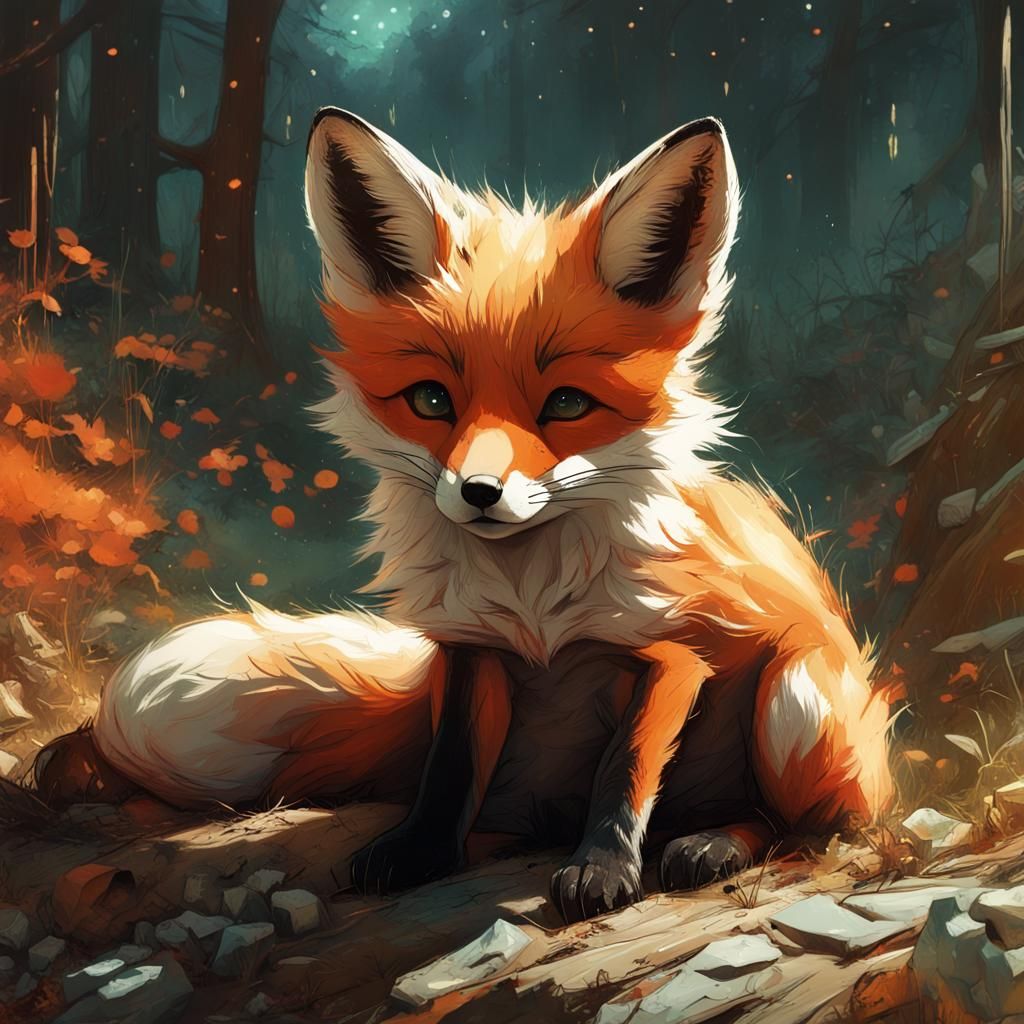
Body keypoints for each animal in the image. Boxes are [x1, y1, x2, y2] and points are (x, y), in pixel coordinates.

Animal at [36, 108, 892, 922]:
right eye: (430, 400)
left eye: (568, 405)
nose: (479, 492)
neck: (533, 603)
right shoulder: (470, 651)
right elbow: (449, 772)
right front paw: (419, 853)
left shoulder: (671, 653)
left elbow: (624, 773)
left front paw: (602, 870)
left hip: (795, 704)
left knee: (808, 825)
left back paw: (714, 843)